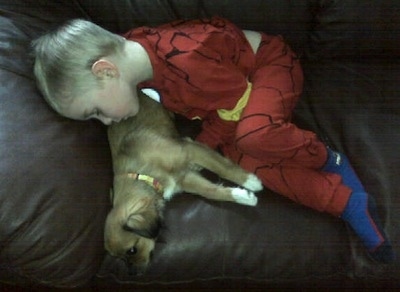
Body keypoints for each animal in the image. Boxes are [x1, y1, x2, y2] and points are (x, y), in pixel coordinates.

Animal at [104, 90, 264, 274]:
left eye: (132, 250)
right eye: (120, 259)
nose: (134, 274)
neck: (143, 174)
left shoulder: (188, 149)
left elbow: (223, 169)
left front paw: (250, 181)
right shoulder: (185, 178)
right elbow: (211, 192)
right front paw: (243, 196)